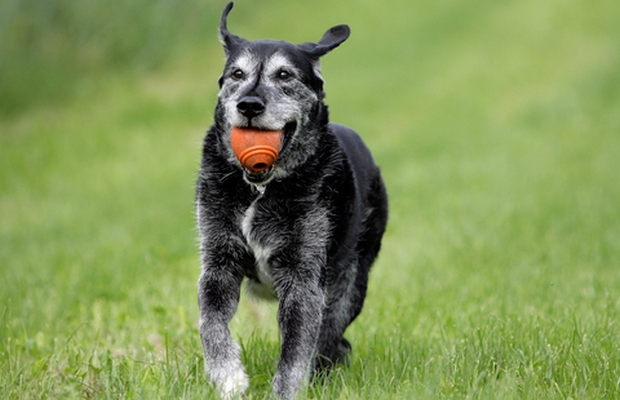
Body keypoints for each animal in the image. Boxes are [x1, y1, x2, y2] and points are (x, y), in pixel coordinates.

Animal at [196, 2, 388, 396]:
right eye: (236, 73)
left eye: (284, 74)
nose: (249, 105)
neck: (259, 189)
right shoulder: (219, 262)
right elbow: (210, 323)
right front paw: (229, 377)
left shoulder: (303, 280)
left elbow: (297, 349)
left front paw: (286, 390)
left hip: (350, 283)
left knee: (331, 336)